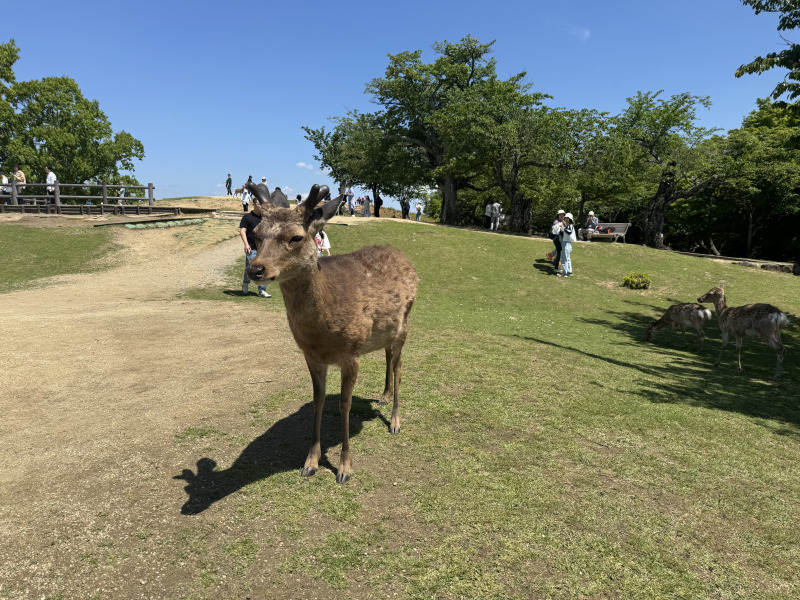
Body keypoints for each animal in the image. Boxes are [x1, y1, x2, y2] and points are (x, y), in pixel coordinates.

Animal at [244, 182, 418, 482]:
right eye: (256, 233)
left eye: (296, 237)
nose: (255, 269)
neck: (321, 335)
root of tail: (405, 256)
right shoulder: (311, 356)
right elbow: (318, 401)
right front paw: (310, 462)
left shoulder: (352, 353)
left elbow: (344, 405)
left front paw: (344, 468)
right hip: (385, 333)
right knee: (387, 357)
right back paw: (383, 397)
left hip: (404, 325)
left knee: (398, 368)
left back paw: (395, 421)